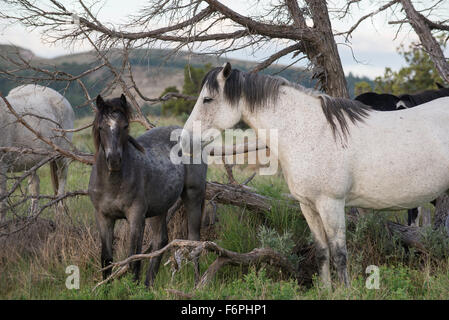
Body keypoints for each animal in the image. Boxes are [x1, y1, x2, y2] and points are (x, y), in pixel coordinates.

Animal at [0, 84, 75, 221]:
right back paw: (33, 218)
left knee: (62, 177)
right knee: (35, 186)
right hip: (31, 163)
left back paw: (59, 214)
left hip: (61, 155)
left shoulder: (2, 166)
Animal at [88, 94, 207, 286]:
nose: (114, 160)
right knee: (160, 241)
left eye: (125, 126)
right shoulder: (103, 217)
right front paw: (105, 288)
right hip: (158, 209)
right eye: (101, 127)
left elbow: (133, 257)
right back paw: (148, 284)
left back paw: (197, 283)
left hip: (193, 196)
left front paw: (132, 287)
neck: (113, 183)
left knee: (194, 240)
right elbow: (106, 259)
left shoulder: (136, 216)